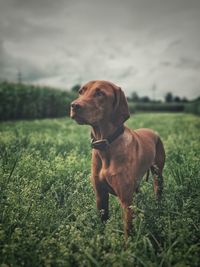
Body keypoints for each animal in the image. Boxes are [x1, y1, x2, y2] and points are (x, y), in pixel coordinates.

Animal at [70, 80, 166, 240]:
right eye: (80, 91)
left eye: (100, 93)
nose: (74, 105)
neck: (106, 144)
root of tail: (152, 131)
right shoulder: (100, 196)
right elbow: (102, 225)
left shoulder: (126, 200)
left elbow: (128, 231)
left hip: (158, 176)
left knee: (158, 193)